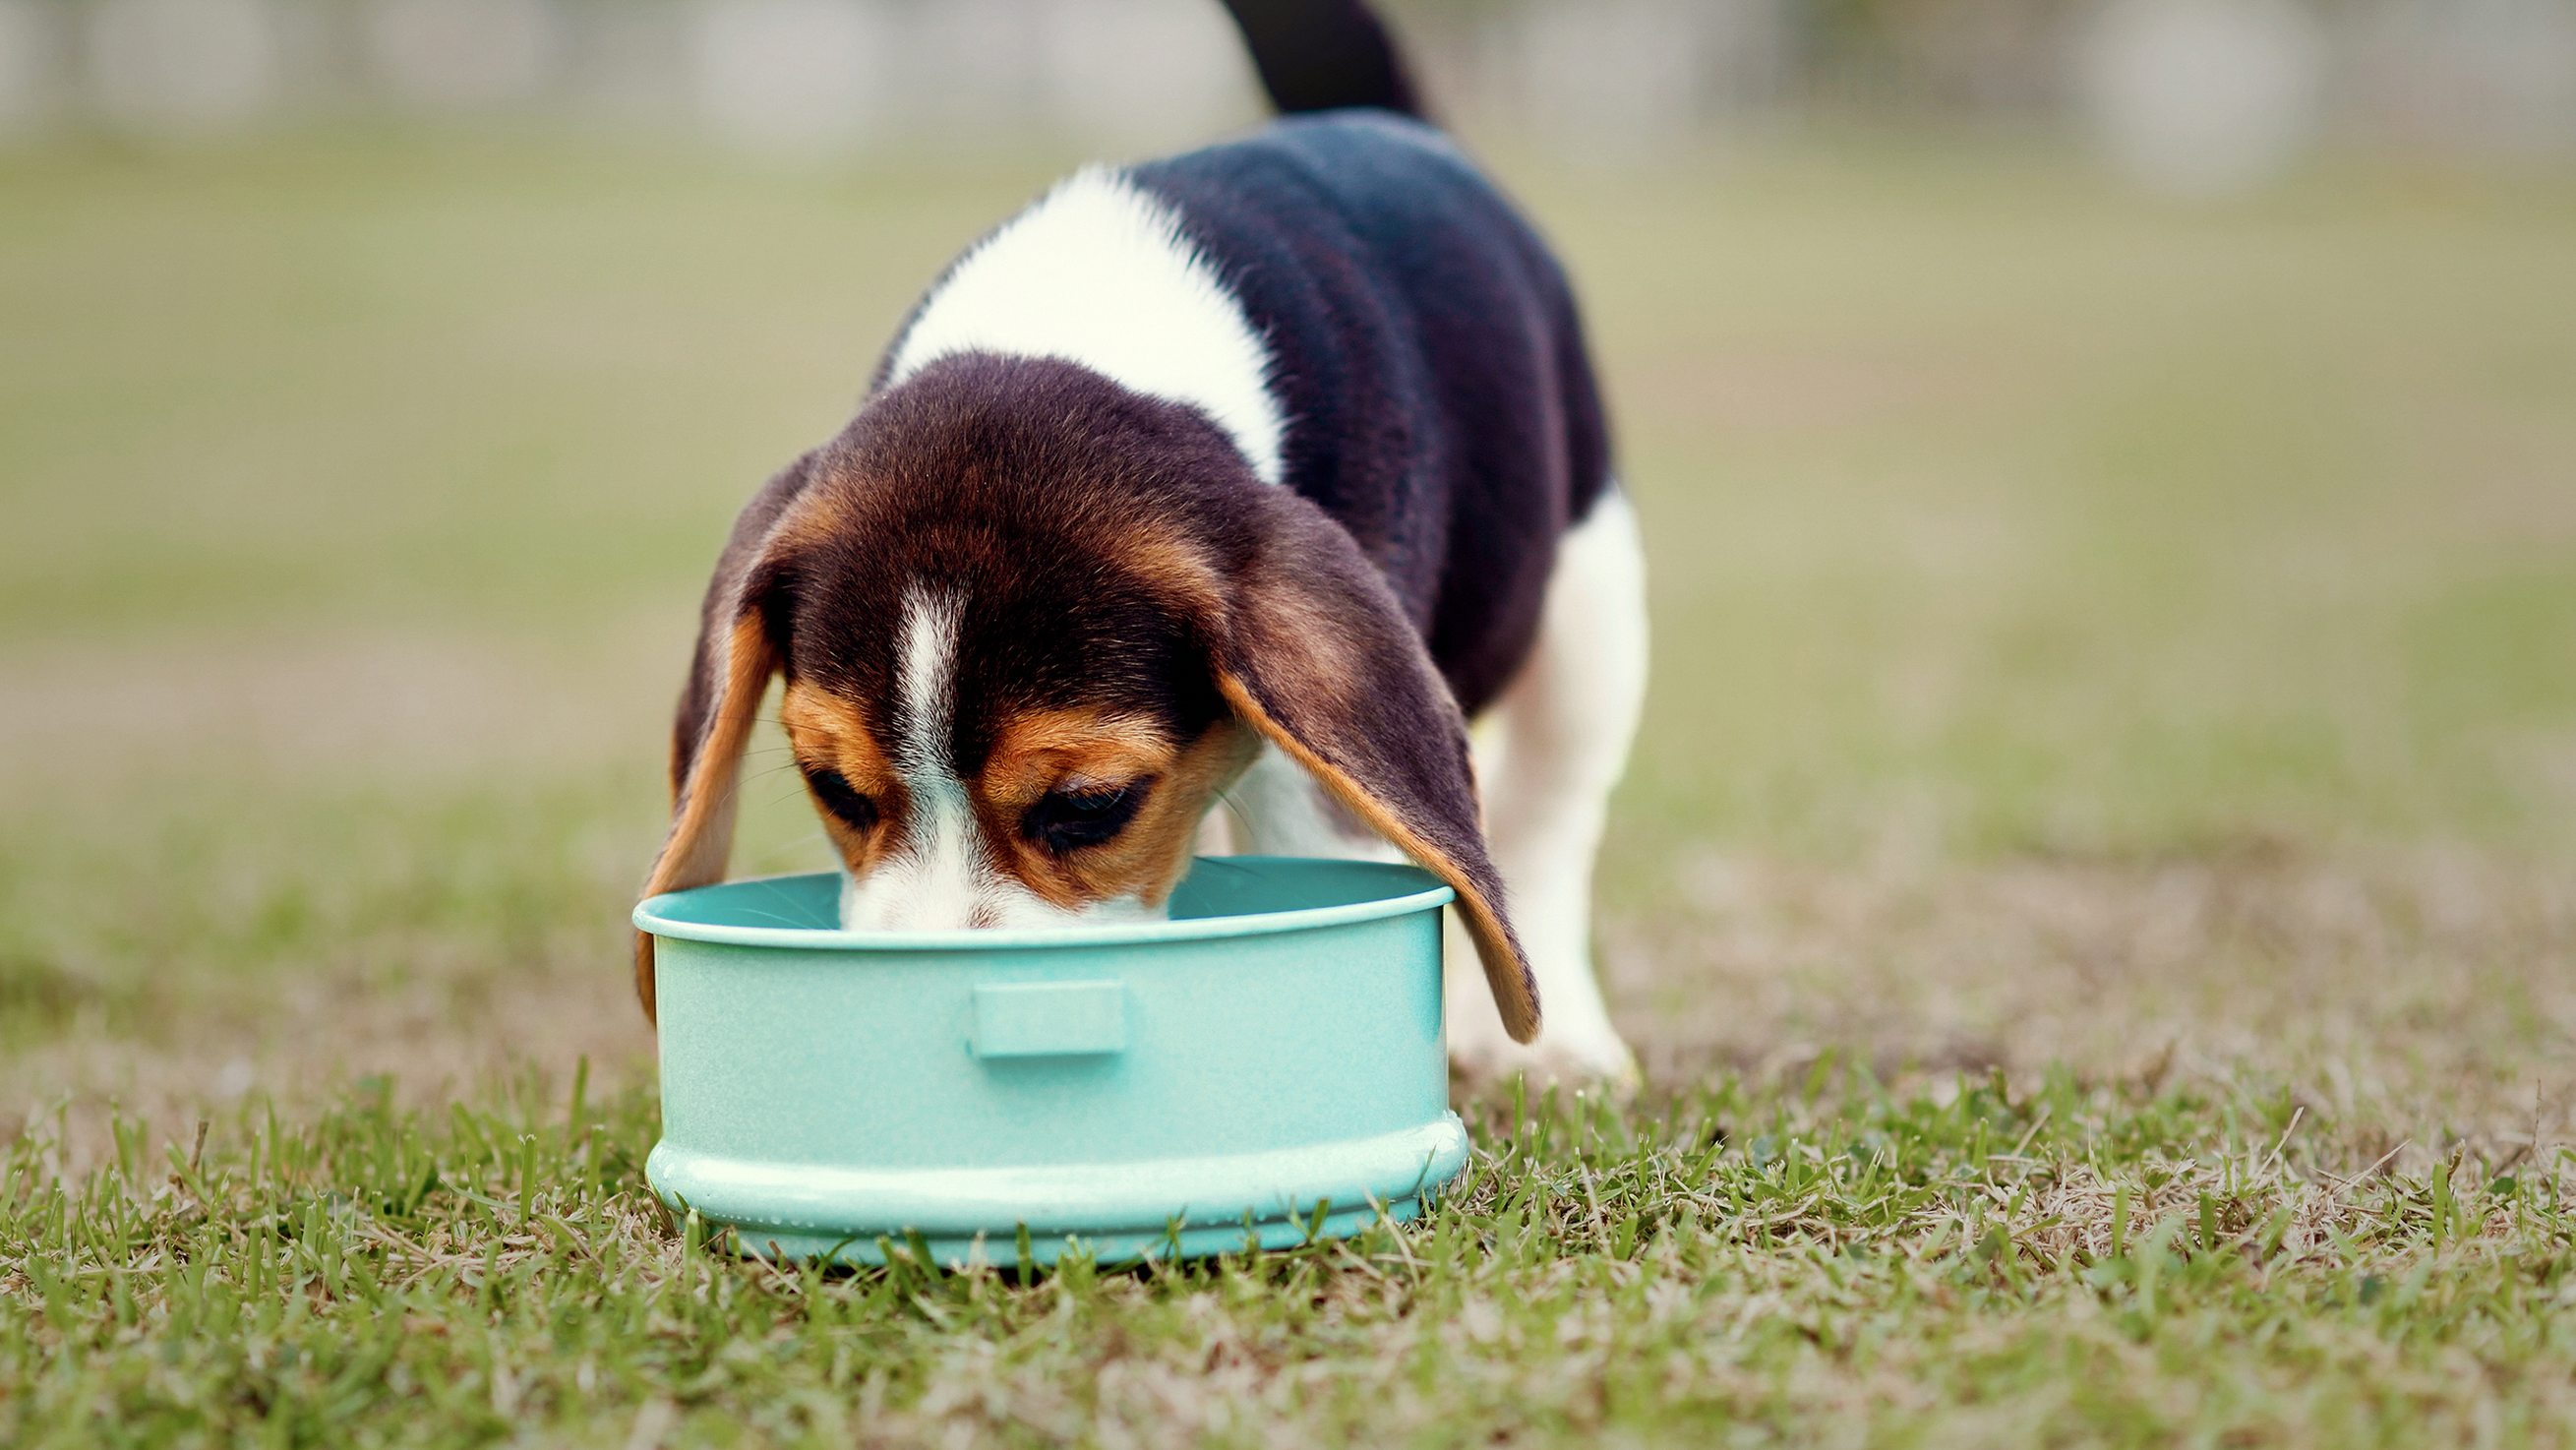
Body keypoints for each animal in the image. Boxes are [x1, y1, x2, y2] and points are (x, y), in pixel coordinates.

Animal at [638, 0, 1648, 1076]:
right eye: (834, 788)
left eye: (1090, 806)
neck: (1078, 320)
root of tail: (1389, 123)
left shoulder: (1311, 765)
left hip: (1591, 606)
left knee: (1549, 813)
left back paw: (1557, 1046)